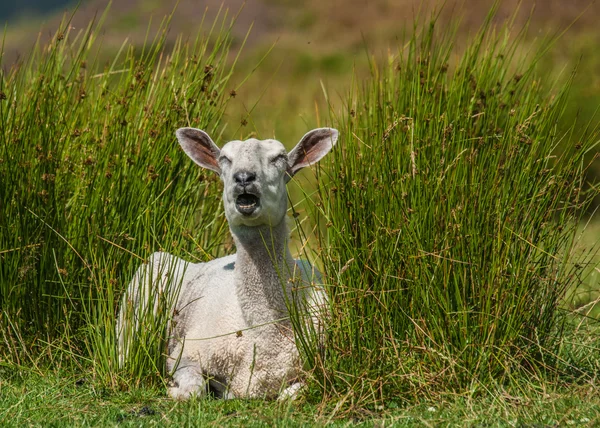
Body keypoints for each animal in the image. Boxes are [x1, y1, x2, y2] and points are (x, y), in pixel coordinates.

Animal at [117, 125, 338, 400]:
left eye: (279, 158)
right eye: (224, 158)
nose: (243, 177)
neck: (265, 332)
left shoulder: (318, 364)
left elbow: (294, 395)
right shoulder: (185, 354)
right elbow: (194, 389)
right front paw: (174, 390)